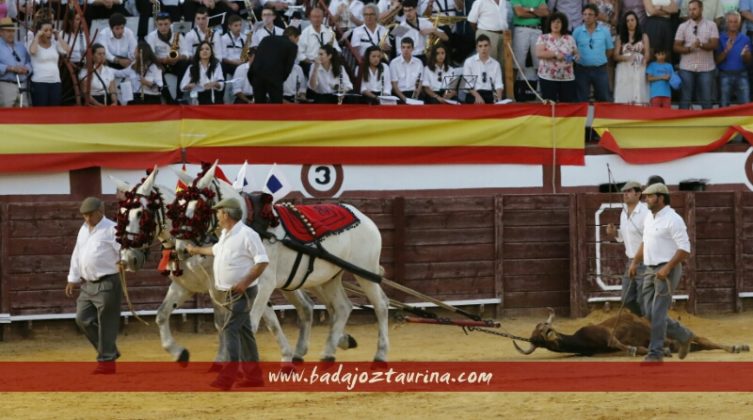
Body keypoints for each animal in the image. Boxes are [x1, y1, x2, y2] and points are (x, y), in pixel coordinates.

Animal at [173, 162, 390, 362]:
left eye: (199, 209)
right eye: (179, 207)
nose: (181, 248)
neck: (250, 223)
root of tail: (364, 218)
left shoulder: (264, 284)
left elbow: (250, 323)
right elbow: (246, 323)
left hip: (365, 271)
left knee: (380, 304)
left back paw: (380, 354)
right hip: (330, 277)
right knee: (342, 306)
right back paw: (327, 353)